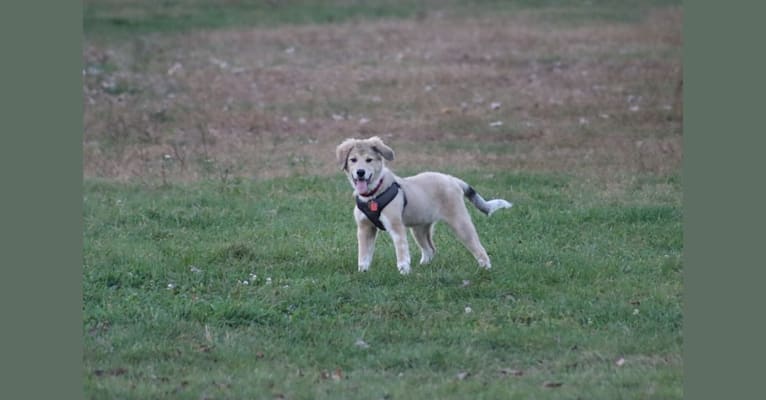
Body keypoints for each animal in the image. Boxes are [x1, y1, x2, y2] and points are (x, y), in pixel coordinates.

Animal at [338, 136, 512, 274]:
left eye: (369, 160)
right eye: (353, 160)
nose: (360, 172)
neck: (373, 194)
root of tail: (452, 179)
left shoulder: (396, 227)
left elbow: (401, 251)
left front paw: (404, 271)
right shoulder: (365, 228)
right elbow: (364, 254)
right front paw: (363, 272)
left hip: (460, 223)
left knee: (478, 248)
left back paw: (486, 268)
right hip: (420, 229)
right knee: (430, 250)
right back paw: (423, 267)